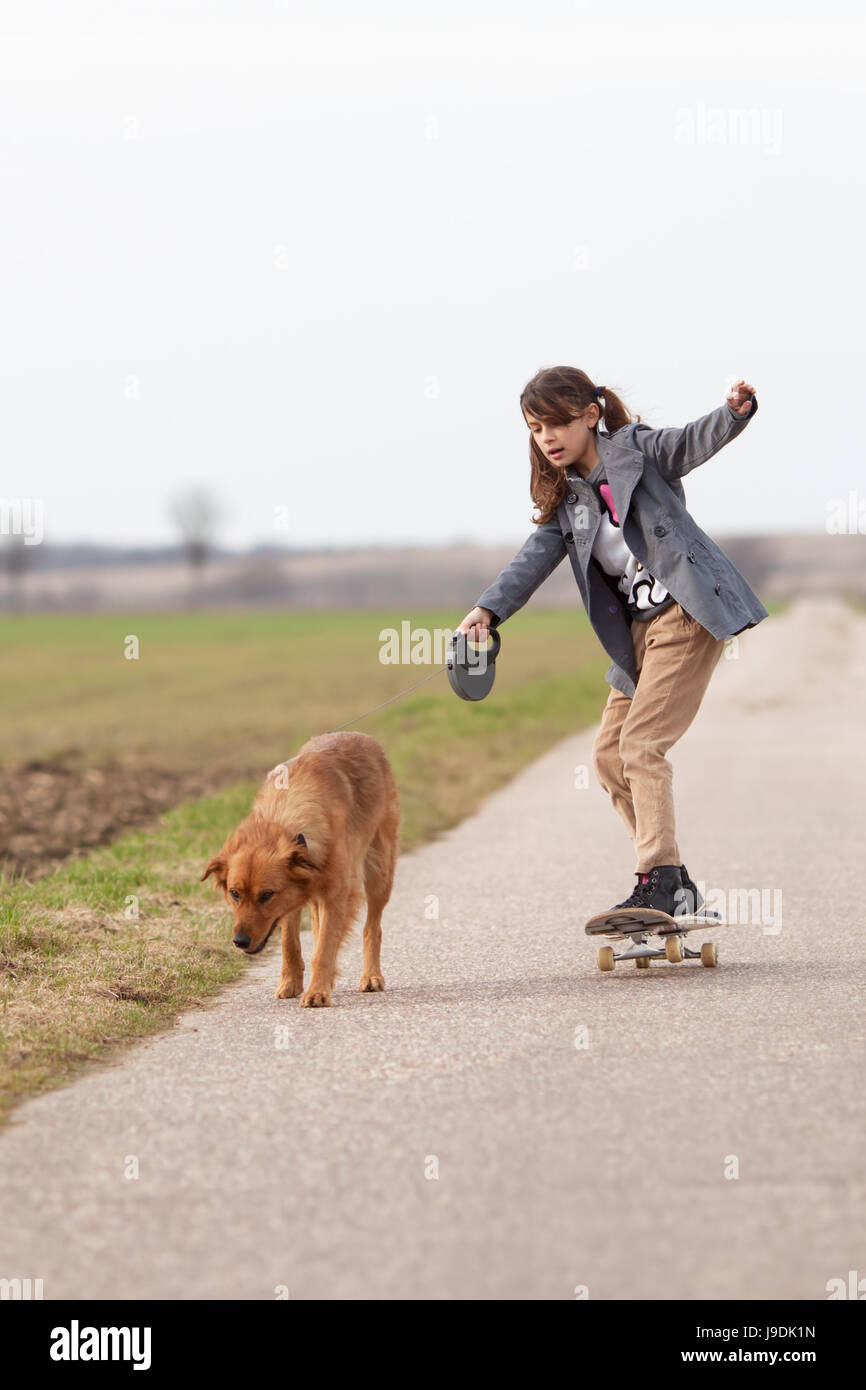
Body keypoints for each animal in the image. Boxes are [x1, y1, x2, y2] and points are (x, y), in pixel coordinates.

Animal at [202, 728, 403, 1011]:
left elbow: (324, 949)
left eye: (266, 895)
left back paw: (371, 976)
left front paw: (317, 991)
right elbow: (291, 944)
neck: (284, 819)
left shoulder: (336, 895)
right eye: (234, 894)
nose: (239, 941)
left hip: (380, 872)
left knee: (372, 927)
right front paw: (291, 983)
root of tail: (359, 735)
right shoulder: (294, 897)